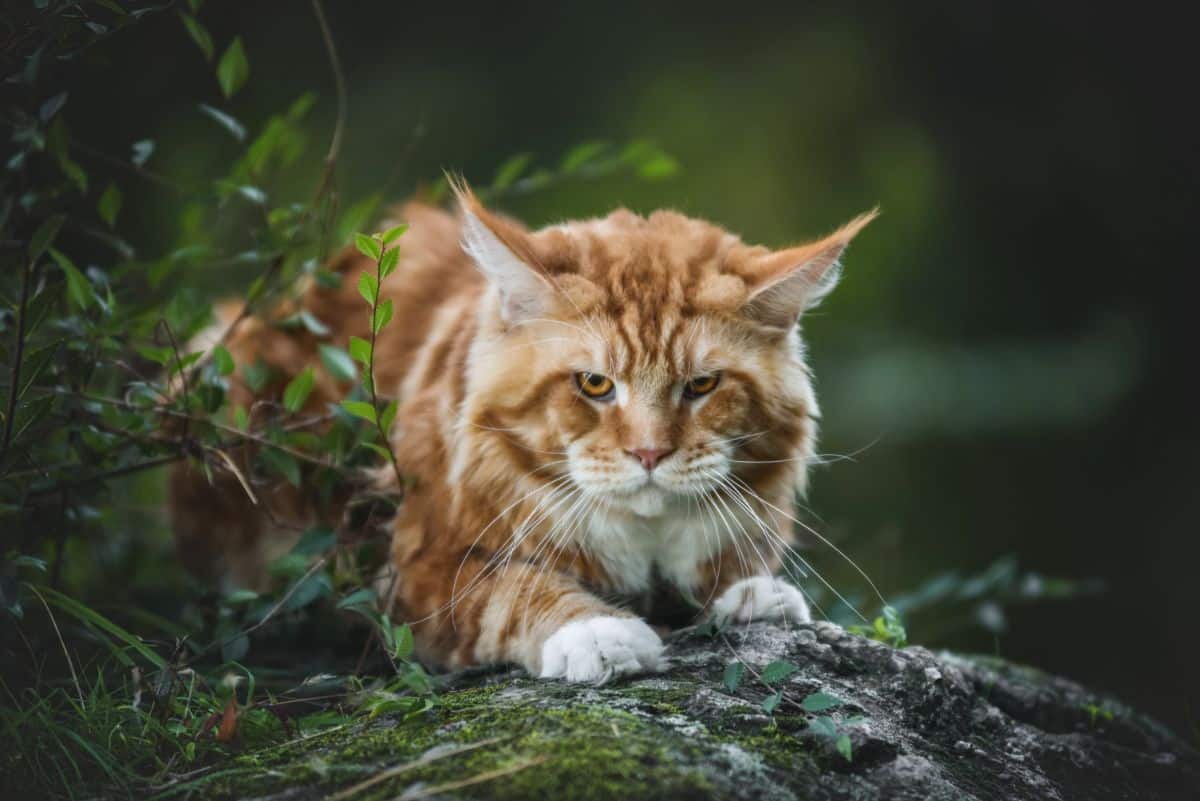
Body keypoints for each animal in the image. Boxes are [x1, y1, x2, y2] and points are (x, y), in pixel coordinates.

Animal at [169, 181, 878, 681]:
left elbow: (730, 561)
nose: (649, 452)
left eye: (701, 387)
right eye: (595, 384)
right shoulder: (424, 568)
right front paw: (599, 632)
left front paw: (751, 593)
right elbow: (517, 590)